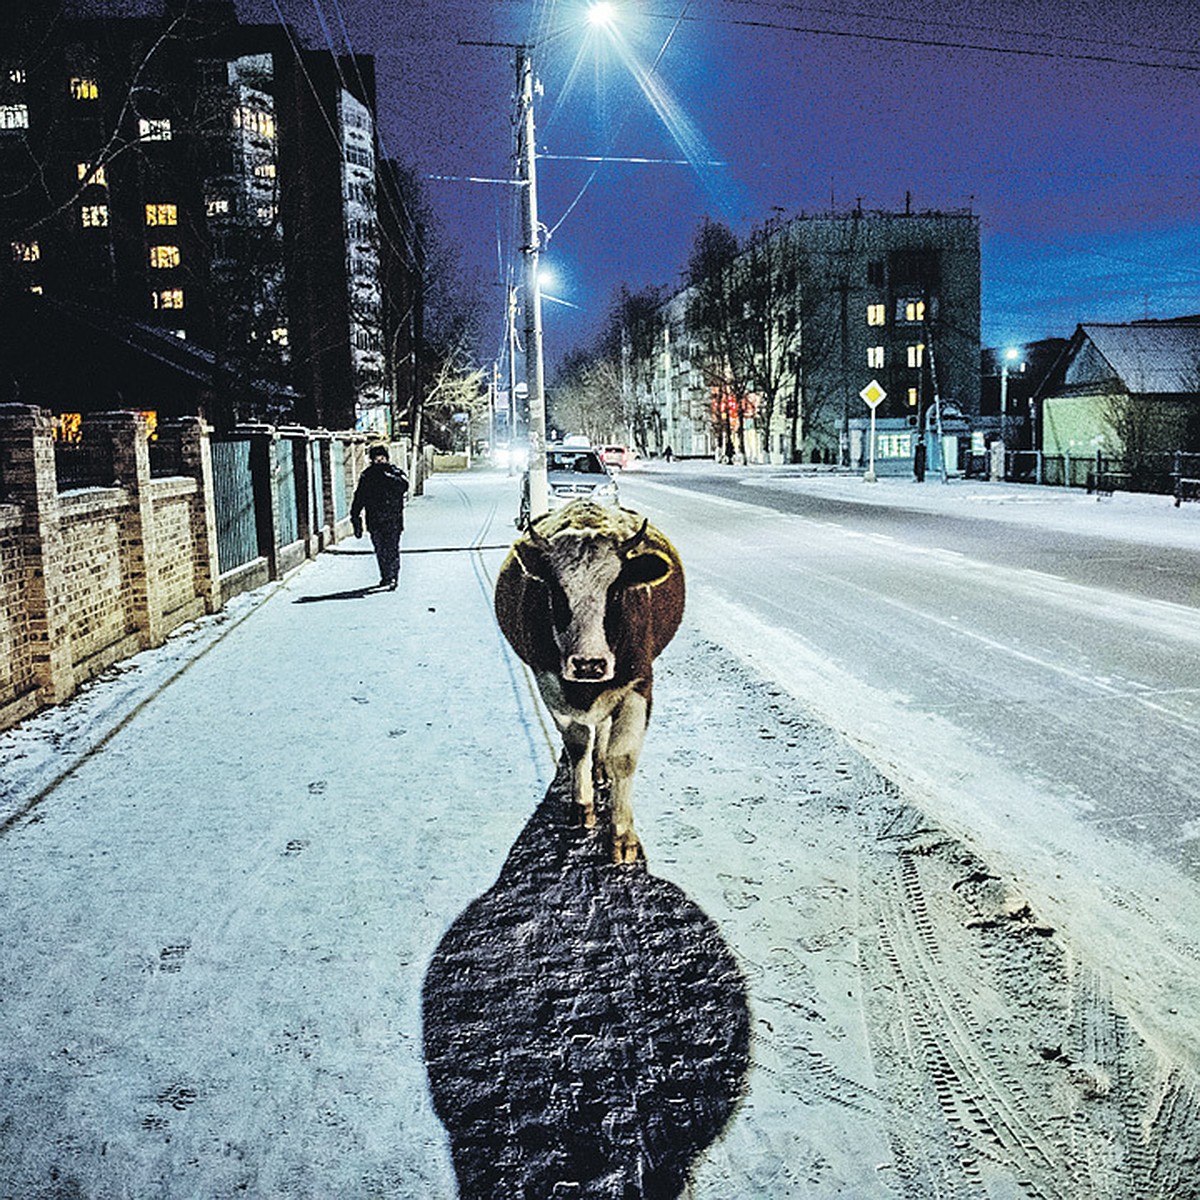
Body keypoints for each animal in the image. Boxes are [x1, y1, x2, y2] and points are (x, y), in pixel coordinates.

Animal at [494, 499, 686, 864]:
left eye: (616, 594)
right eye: (557, 593)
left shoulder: (638, 685)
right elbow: (577, 745)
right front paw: (582, 805)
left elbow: (622, 757)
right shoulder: (551, 686)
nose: (589, 664)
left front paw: (622, 836)